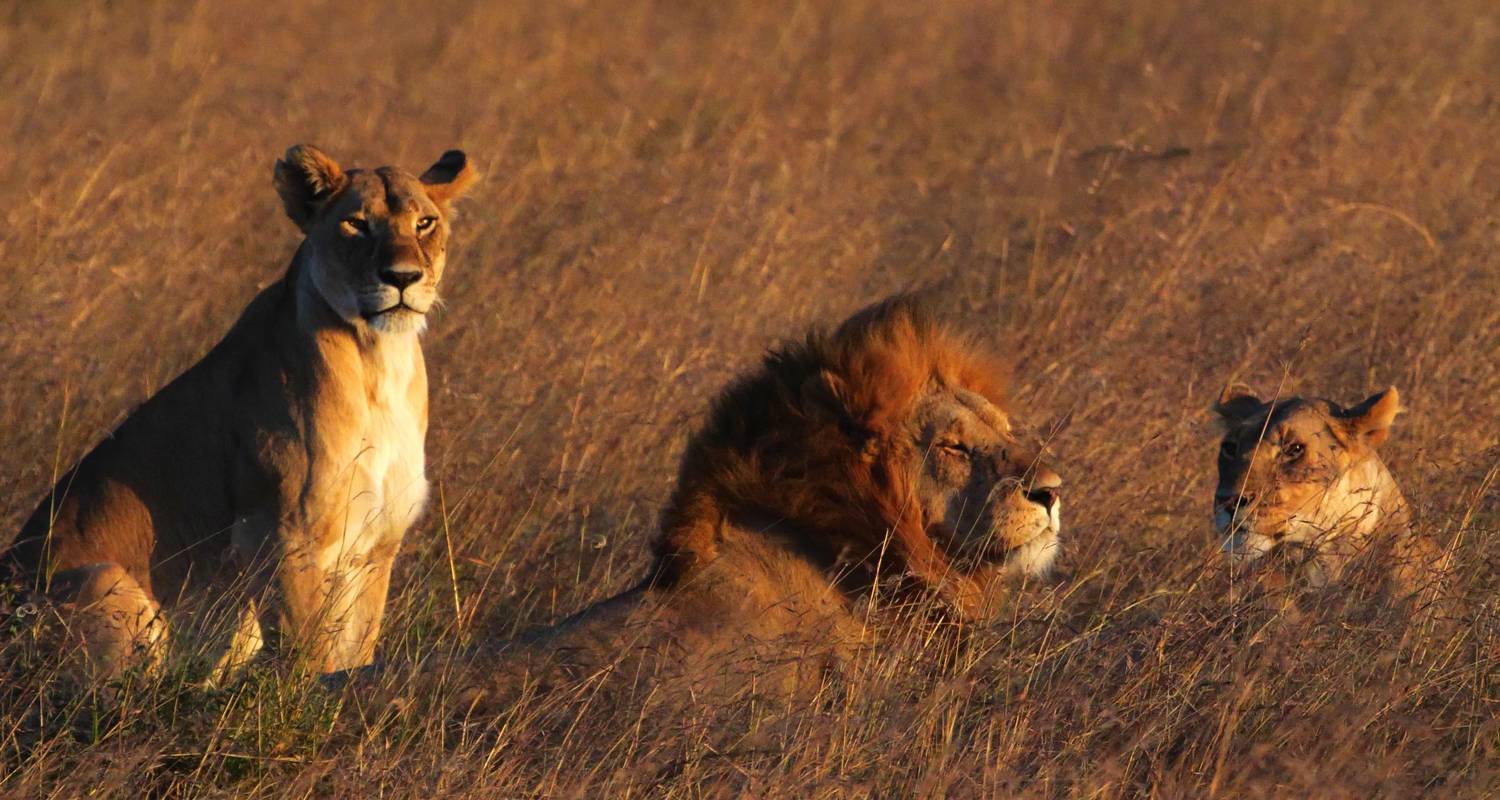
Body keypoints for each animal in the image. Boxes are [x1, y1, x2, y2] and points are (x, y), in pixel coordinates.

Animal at [0, 143, 477, 681]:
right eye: (357, 224)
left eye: (424, 223)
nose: (401, 277)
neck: (380, 361)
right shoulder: (281, 533)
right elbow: (306, 656)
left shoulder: (377, 545)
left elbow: (356, 649)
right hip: (104, 580)